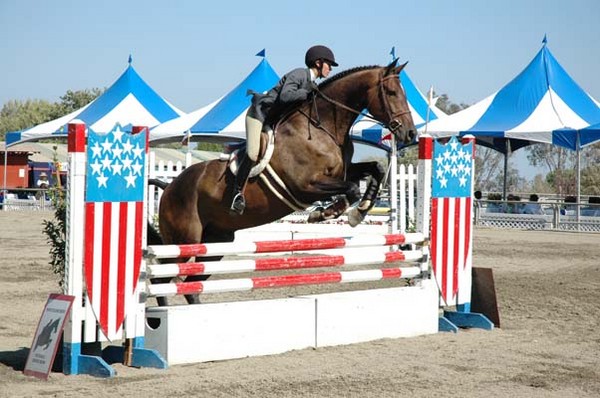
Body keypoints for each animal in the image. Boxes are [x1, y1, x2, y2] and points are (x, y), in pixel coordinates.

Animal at [150, 59, 414, 304]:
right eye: (392, 93)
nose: (411, 134)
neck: (323, 127)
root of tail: (169, 187)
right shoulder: (306, 186)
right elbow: (349, 190)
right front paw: (328, 213)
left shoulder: (341, 173)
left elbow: (375, 170)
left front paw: (358, 211)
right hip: (184, 240)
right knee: (161, 279)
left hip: (215, 242)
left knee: (190, 285)